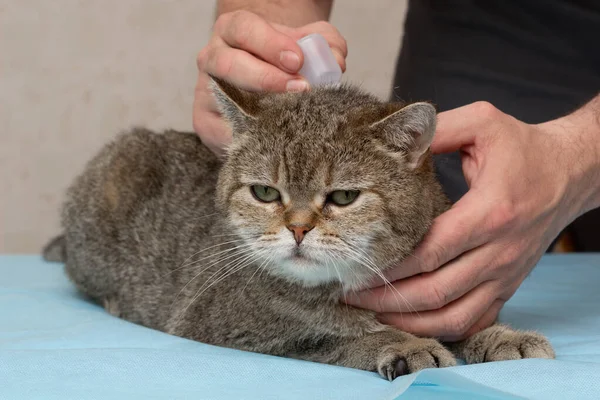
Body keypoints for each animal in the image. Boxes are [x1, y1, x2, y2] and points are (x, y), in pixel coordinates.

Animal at [43, 76, 552, 380]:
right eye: (265, 193)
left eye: (343, 197)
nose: (299, 229)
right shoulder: (237, 328)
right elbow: (343, 337)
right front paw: (404, 344)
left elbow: (464, 321)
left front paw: (503, 336)